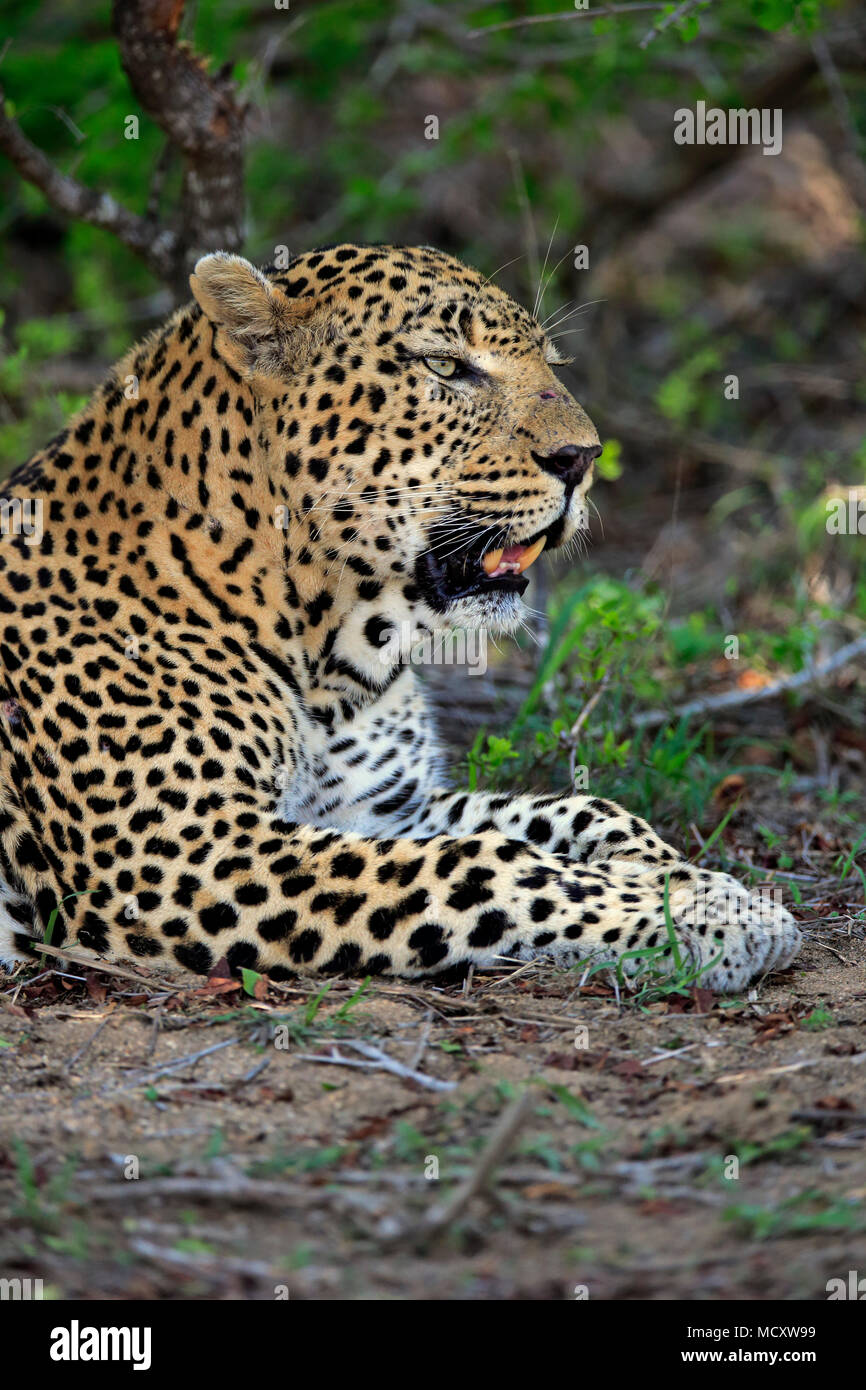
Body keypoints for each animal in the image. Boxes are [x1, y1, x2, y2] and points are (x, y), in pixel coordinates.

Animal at [0, 244, 800, 995]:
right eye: (446, 366)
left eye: (549, 361)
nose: (583, 457)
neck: (333, 651)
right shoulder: (180, 856)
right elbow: (486, 865)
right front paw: (705, 917)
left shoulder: (380, 812)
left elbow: (578, 811)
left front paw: (690, 879)